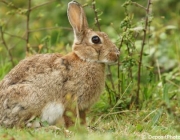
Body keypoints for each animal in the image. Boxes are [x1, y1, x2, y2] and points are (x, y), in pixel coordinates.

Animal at [0, 0, 119, 128]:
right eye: (95, 39)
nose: (117, 54)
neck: (85, 60)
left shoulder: (82, 108)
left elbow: (82, 119)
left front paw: (85, 128)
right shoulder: (71, 101)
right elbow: (70, 118)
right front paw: (75, 129)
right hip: (31, 101)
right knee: (22, 126)